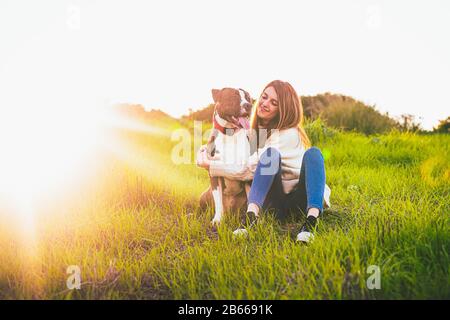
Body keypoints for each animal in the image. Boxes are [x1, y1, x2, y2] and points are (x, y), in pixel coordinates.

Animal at [200, 87, 253, 226]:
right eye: (233, 97)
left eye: (248, 98)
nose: (249, 105)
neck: (230, 133)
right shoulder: (214, 173)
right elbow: (218, 201)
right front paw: (217, 220)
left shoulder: (248, 173)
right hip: (204, 196)